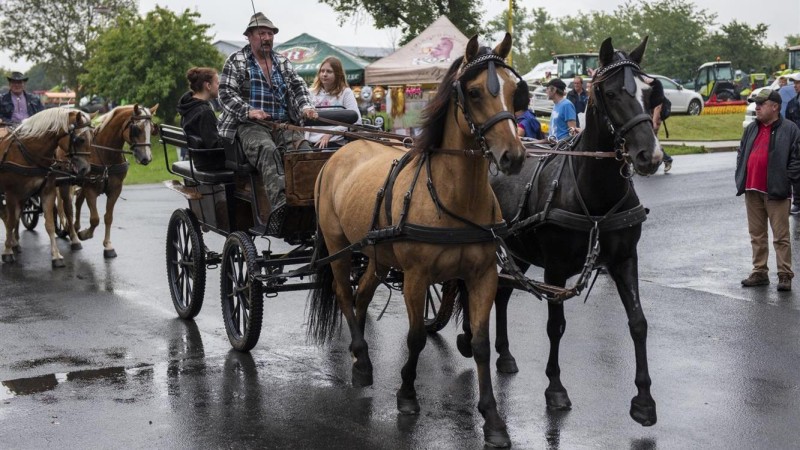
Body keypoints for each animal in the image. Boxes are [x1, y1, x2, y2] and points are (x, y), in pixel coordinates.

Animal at [0, 107, 92, 266]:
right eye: (80, 139)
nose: (86, 169)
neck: (30, 153)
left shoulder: (47, 191)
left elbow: (49, 224)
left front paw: (56, 256)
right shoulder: (11, 194)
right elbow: (10, 221)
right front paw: (7, 251)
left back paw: (15, 242)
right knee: (7, 216)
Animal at [68, 103, 159, 256]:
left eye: (152, 129)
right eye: (137, 129)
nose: (146, 158)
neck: (105, 155)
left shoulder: (115, 190)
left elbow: (108, 217)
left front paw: (108, 245)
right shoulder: (90, 189)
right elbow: (95, 219)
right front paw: (85, 234)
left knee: (78, 201)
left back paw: (76, 227)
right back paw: (72, 235)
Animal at [310, 34, 528, 446]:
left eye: (514, 90)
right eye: (475, 92)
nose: (514, 156)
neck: (455, 197)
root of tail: (342, 149)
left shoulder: (482, 277)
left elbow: (480, 343)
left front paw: (492, 419)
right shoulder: (416, 276)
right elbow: (415, 339)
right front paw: (407, 395)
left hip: (376, 256)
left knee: (362, 294)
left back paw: (360, 353)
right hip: (337, 247)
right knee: (345, 294)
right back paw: (361, 360)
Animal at [454, 37, 664, 428]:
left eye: (651, 92)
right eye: (611, 93)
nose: (651, 156)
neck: (595, 196)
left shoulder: (625, 259)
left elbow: (638, 322)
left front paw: (644, 400)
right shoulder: (554, 268)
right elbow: (556, 326)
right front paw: (555, 388)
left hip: (515, 251)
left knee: (502, 293)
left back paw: (504, 354)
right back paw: (467, 338)